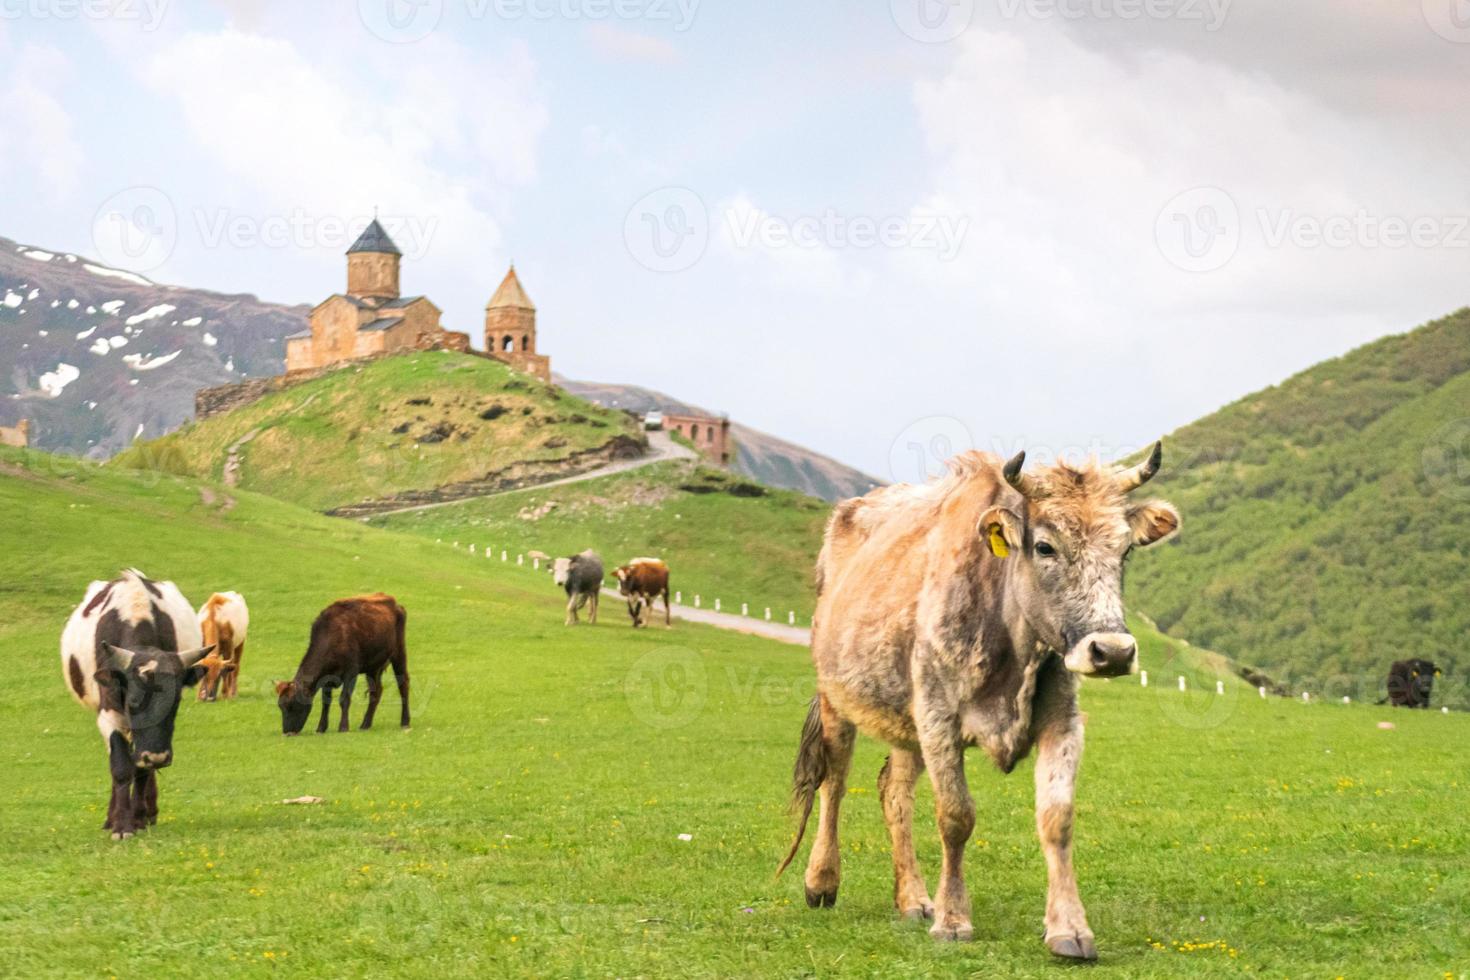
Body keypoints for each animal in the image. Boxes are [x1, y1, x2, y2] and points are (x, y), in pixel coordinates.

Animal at [61, 570, 217, 840]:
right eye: (133, 700)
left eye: (175, 702)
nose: (157, 756)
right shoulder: (109, 714)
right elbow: (121, 766)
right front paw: (121, 825)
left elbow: (140, 769)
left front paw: (138, 818)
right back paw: (111, 818)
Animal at [274, 590, 408, 734]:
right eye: (280, 706)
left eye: (292, 705)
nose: (287, 732)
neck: (333, 636)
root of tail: (395, 604)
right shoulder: (327, 677)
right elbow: (326, 702)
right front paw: (321, 728)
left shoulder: (351, 672)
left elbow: (344, 699)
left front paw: (343, 727)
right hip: (373, 668)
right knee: (376, 691)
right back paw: (365, 724)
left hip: (398, 654)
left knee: (403, 684)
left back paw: (405, 722)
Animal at [782, 446, 1181, 963]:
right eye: (1045, 547)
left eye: (1125, 550)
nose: (1112, 652)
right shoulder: (939, 720)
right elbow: (956, 816)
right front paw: (954, 920)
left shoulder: (1062, 722)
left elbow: (1057, 819)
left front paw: (1069, 929)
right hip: (837, 698)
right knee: (834, 779)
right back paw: (822, 881)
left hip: (907, 721)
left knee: (894, 790)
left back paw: (913, 898)